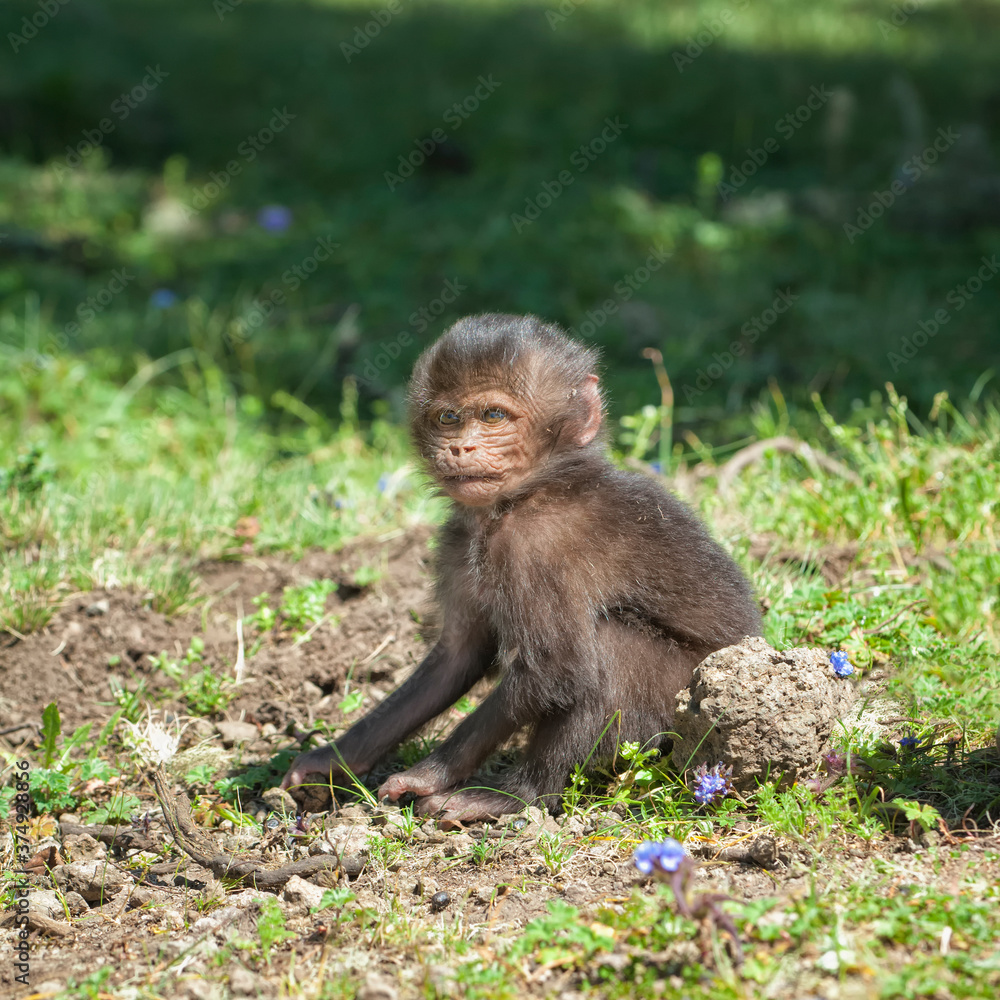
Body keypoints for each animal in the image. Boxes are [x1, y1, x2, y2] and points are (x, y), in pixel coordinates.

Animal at [281, 313, 762, 822]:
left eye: (493, 416)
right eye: (448, 418)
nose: (461, 448)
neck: (525, 494)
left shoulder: (533, 545)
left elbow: (555, 671)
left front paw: (428, 776)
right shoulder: (458, 543)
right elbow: (456, 657)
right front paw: (334, 757)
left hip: (686, 709)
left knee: (609, 649)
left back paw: (518, 795)